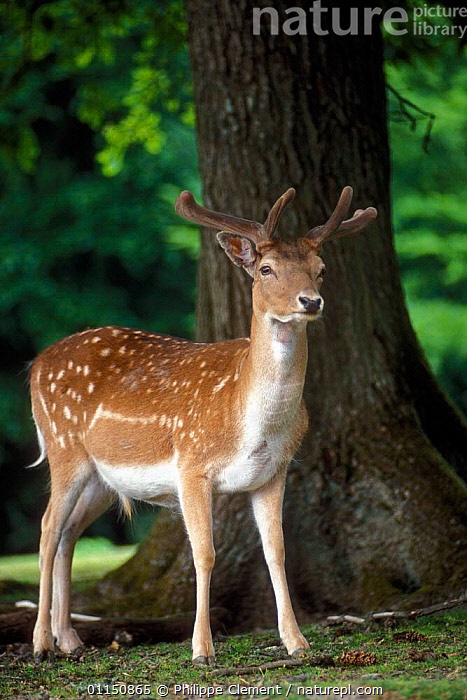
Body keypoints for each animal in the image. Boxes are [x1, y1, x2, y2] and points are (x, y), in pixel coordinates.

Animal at [29, 185, 377, 664]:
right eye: (266, 269)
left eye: (320, 270)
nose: (310, 301)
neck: (250, 421)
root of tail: (35, 366)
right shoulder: (191, 465)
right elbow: (205, 554)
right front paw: (202, 649)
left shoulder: (274, 472)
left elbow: (277, 551)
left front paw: (296, 642)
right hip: (64, 448)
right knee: (47, 530)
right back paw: (41, 643)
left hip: (102, 478)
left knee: (68, 534)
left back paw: (70, 639)